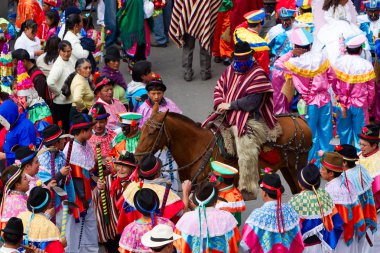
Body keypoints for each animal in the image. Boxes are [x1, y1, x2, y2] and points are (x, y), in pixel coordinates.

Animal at [136, 104, 312, 199]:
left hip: (297, 168)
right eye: (142, 128)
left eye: (152, 132)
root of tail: (300, 120)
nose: (137, 157)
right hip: (286, 168)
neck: (197, 148)